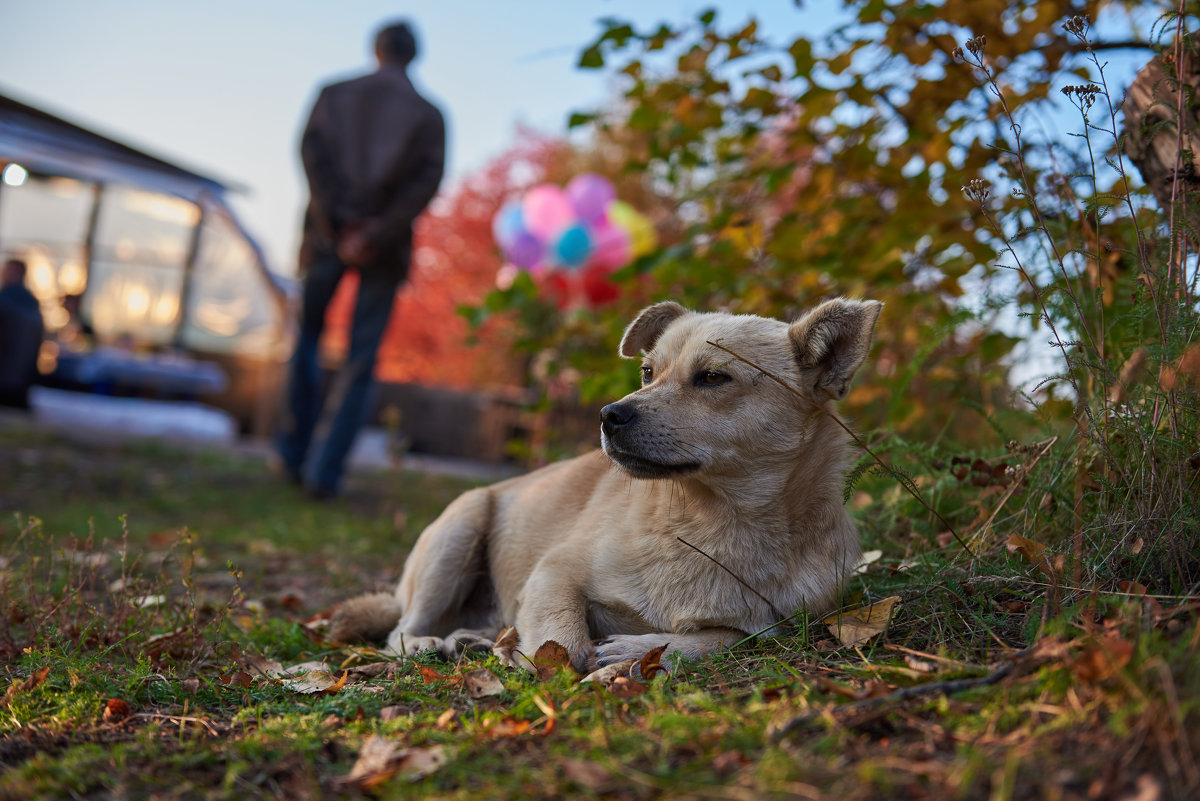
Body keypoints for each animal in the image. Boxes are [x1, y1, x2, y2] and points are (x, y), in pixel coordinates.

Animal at [328, 298, 883, 671]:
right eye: (647, 372)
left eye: (713, 377)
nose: (609, 414)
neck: (710, 525)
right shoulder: (555, 573)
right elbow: (565, 643)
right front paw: (544, 657)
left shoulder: (776, 627)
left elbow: (725, 637)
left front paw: (636, 649)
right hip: (459, 531)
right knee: (400, 629)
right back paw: (431, 643)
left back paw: (476, 639)